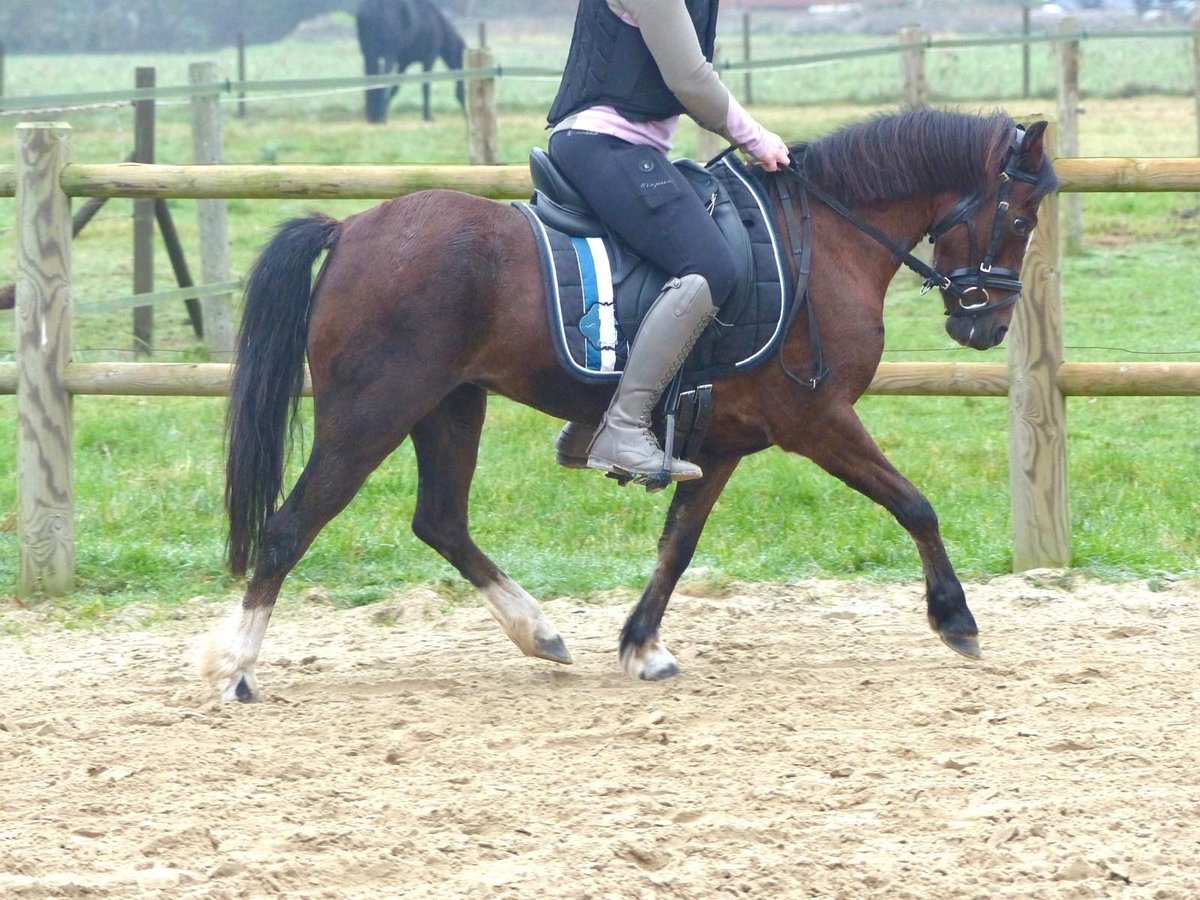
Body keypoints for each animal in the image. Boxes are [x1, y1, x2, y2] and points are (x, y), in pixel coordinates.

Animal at [201, 109, 1056, 705]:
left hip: (448, 408)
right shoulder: (817, 422)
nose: (985, 325)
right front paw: (955, 618)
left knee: (440, 521)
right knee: (289, 528)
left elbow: (676, 546)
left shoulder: (720, 446)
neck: (826, 239)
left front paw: (643, 645)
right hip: (371, 413)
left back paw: (539, 632)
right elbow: (915, 505)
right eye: (1019, 218)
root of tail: (350, 229)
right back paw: (237, 667)